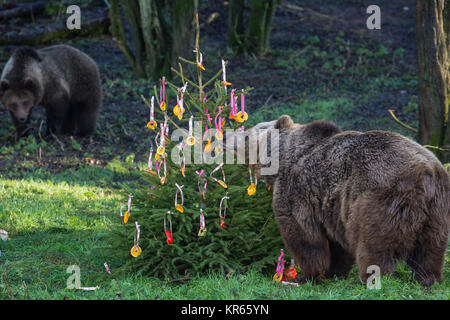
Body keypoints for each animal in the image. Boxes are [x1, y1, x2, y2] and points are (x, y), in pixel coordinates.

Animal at [237, 115, 448, 288]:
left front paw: (307, 276)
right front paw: (334, 273)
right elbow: (337, 245)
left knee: (375, 245)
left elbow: (304, 236)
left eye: (255, 129)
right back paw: (427, 278)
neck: (284, 157)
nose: (235, 135)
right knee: (430, 250)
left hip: (380, 198)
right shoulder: (332, 206)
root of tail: (426, 172)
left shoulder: (296, 189)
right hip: (436, 210)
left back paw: (375, 278)